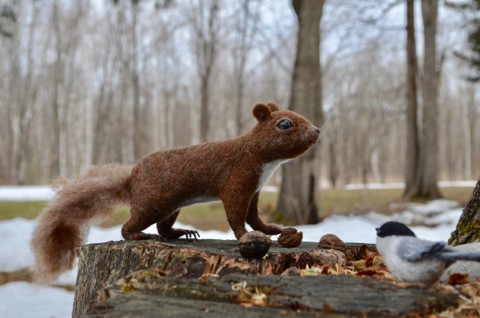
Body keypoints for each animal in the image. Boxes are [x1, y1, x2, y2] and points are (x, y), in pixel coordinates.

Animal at [31, 102, 320, 280]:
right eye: (284, 124)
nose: (316, 130)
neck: (261, 159)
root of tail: (131, 178)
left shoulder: (254, 191)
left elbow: (256, 218)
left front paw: (276, 230)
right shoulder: (237, 183)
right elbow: (237, 217)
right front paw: (247, 237)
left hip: (171, 207)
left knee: (163, 227)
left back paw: (181, 233)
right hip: (151, 203)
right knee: (129, 227)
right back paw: (139, 236)